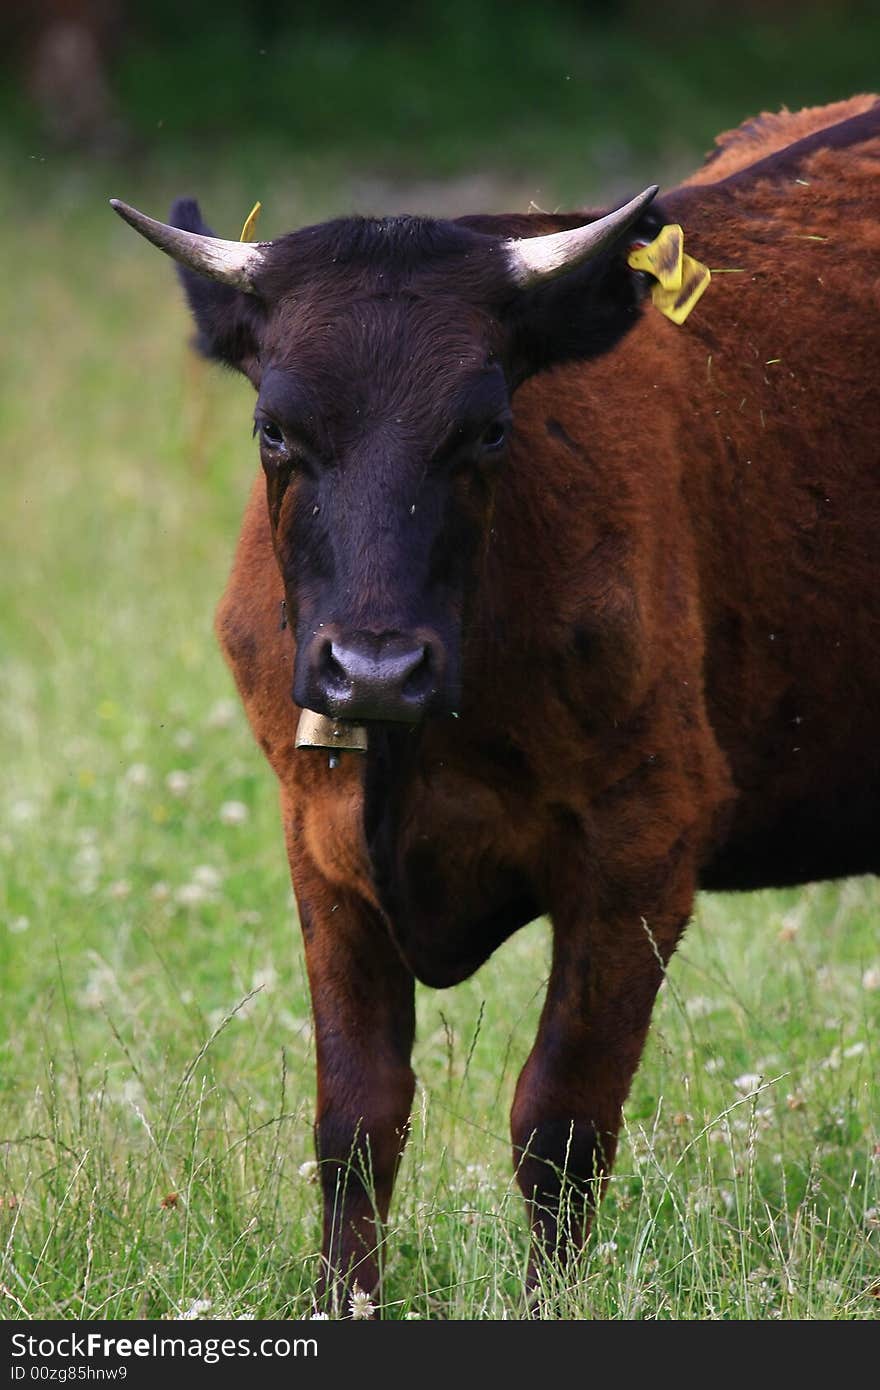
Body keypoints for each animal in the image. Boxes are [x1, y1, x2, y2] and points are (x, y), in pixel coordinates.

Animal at [111, 97, 878, 1312]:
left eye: (489, 429)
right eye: (274, 429)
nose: (374, 669)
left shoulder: (644, 838)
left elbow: (559, 1125)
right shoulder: (316, 838)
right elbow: (356, 1123)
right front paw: (345, 1302)